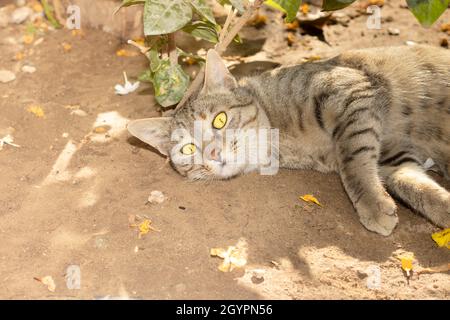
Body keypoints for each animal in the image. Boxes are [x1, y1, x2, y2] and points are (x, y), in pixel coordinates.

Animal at [127, 43, 450, 236]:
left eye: (220, 119)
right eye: (189, 149)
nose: (214, 154)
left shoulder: (349, 91)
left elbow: (353, 162)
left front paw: (371, 205)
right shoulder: (392, 155)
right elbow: (416, 187)